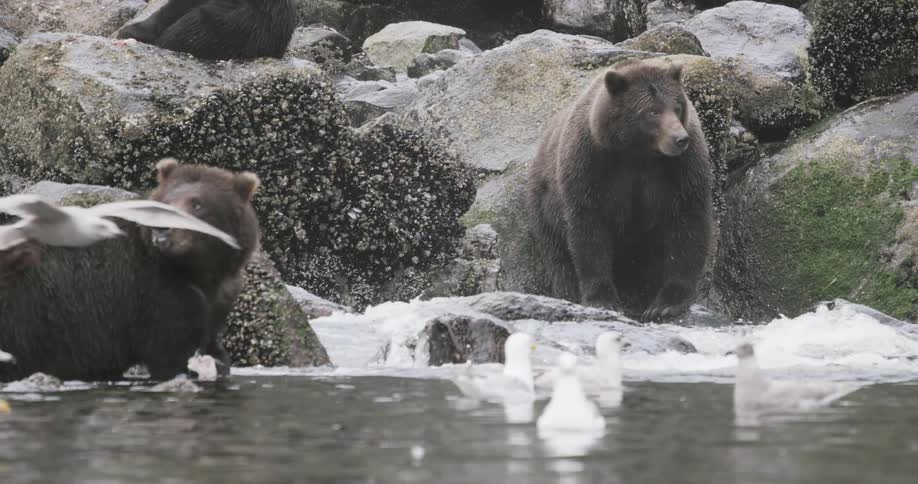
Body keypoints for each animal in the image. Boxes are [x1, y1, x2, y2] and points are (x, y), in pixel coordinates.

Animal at [0, 159, 260, 381]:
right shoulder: (154, 295)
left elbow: (212, 344)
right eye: (165, 202)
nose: (163, 228)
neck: (195, 270)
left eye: (197, 204)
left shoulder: (219, 299)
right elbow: (170, 353)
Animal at [526, 58, 714, 322]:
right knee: (558, 256)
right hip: (543, 204)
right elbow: (588, 230)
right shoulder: (590, 165)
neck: (638, 154)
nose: (680, 139)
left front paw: (665, 304)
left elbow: (688, 224)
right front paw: (603, 299)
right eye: (652, 111)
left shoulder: (682, 171)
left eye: (677, 106)